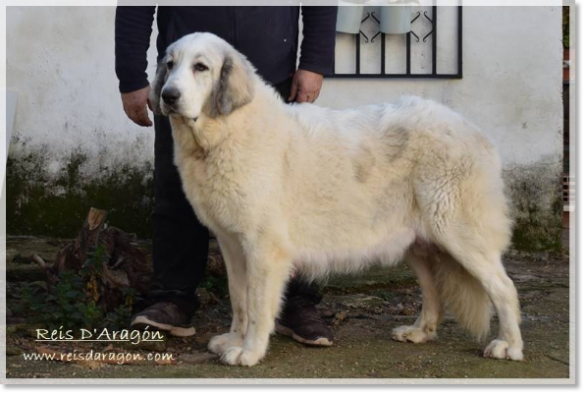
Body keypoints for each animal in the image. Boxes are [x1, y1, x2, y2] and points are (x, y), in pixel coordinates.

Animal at [149, 31, 520, 368]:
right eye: (169, 65)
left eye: (200, 67)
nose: (168, 96)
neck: (222, 134)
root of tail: (472, 129)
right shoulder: (232, 244)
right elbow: (239, 300)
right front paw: (233, 340)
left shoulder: (263, 247)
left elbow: (256, 306)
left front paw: (249, 352)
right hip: (418, 242)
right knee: (433, 290)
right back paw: (420, 331)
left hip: (459, 235)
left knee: (504, 288)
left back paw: (509, 346)